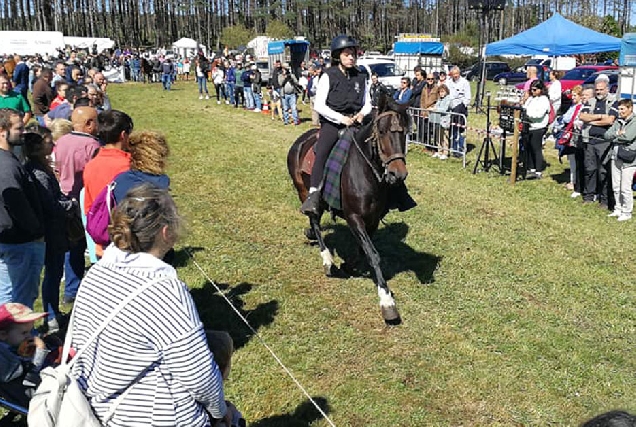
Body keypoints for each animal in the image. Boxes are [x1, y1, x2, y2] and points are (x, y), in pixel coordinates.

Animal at [286, 96, 410, 324]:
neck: (365, 172)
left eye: (405, 132)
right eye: (382, 131)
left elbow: (364, 250)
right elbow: (373, 255)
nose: (398, 174)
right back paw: (327, 260)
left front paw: (348, 265)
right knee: (314, 219)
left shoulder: (372, 220)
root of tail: (301, 140)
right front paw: (387, 302)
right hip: (302, 189)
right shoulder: (354, 217)